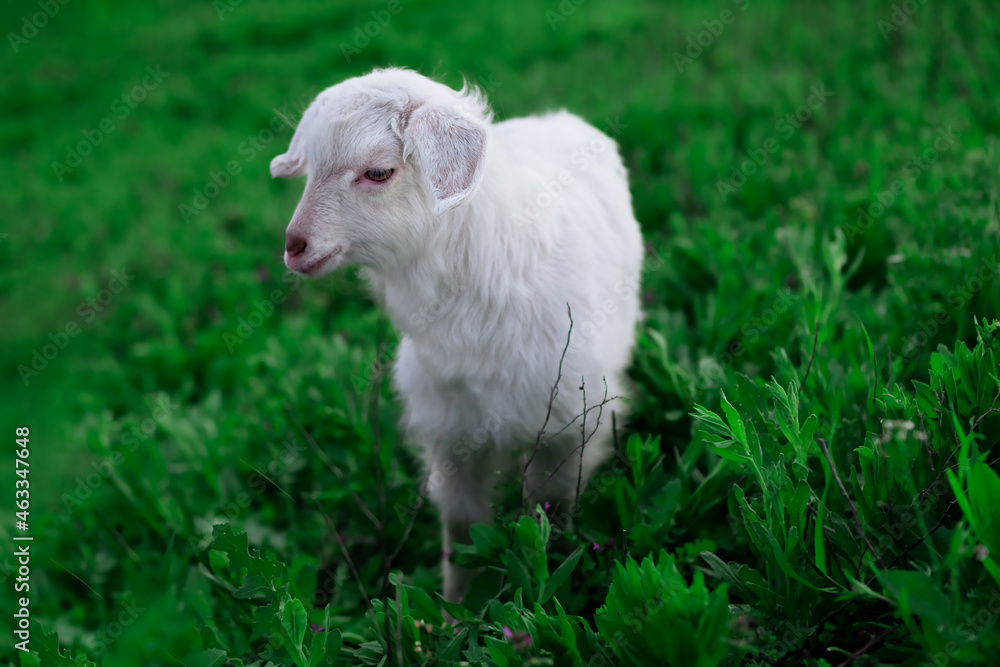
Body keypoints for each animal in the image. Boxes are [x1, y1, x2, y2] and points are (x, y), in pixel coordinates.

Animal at [270, 67, 644, 605]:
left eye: (378, 173)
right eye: (310, 169)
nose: (294, 246)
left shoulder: (566, 426)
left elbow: (546, 513)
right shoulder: (450, 430)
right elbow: (463, 527)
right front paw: (454, 609)